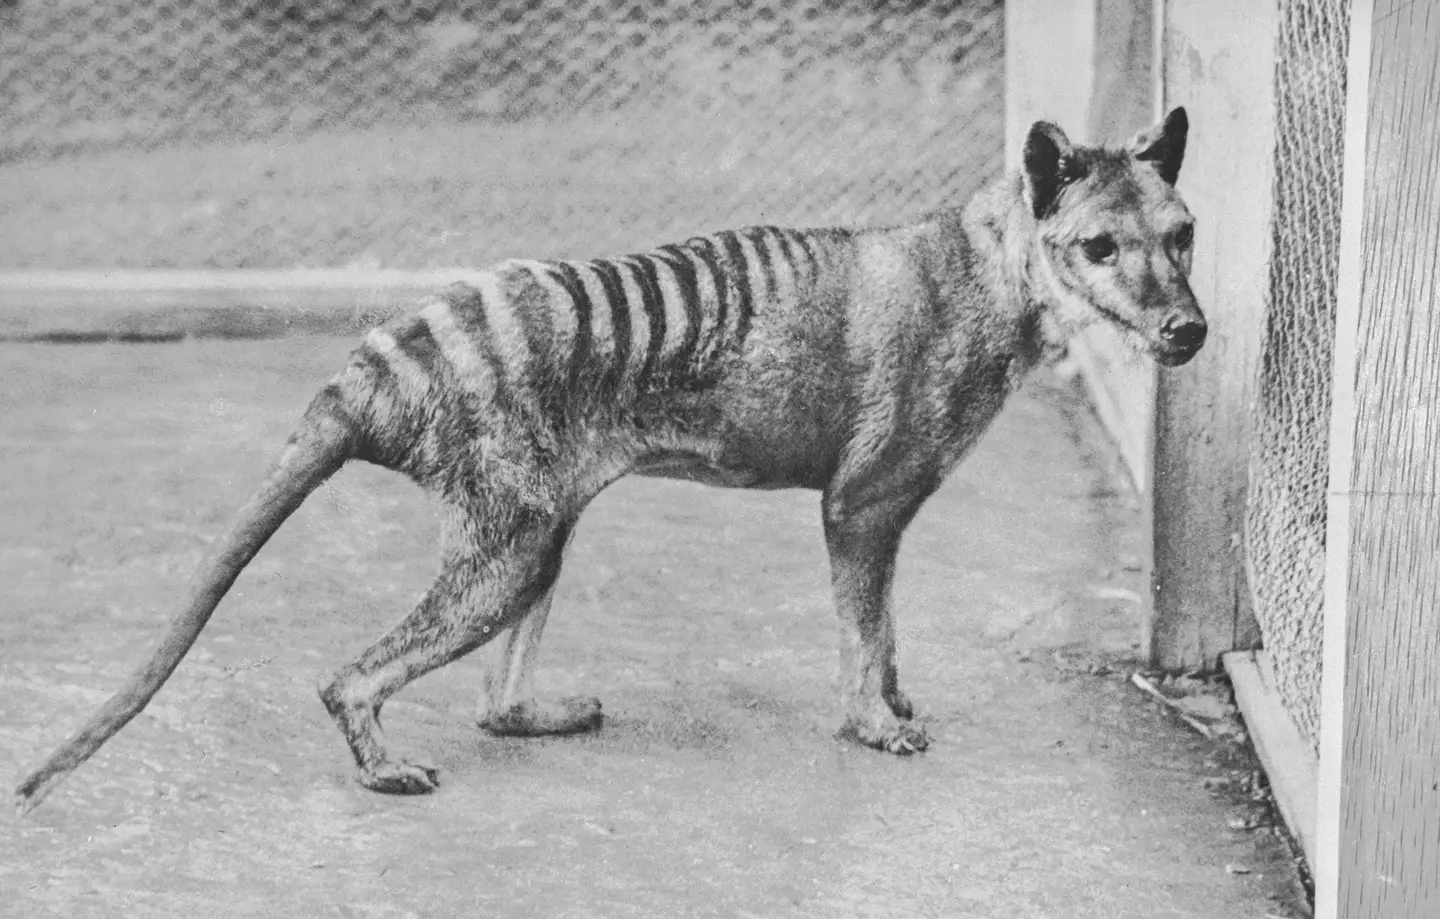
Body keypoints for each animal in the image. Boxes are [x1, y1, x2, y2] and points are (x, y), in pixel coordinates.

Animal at [15, 108, 1204, 813]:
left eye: (1183, 233)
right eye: (1099, 247)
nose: (1188, 330)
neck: (990, 273)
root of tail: (370, 369)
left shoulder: (885, 518)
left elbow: (890, 627)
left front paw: (897, 698)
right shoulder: (862, 504)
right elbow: (863, 631)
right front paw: (872, 723)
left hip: (539, 533)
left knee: (494, 700)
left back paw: (536, 712)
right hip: (507, 548)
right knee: (349, 675)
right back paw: (384, 763)